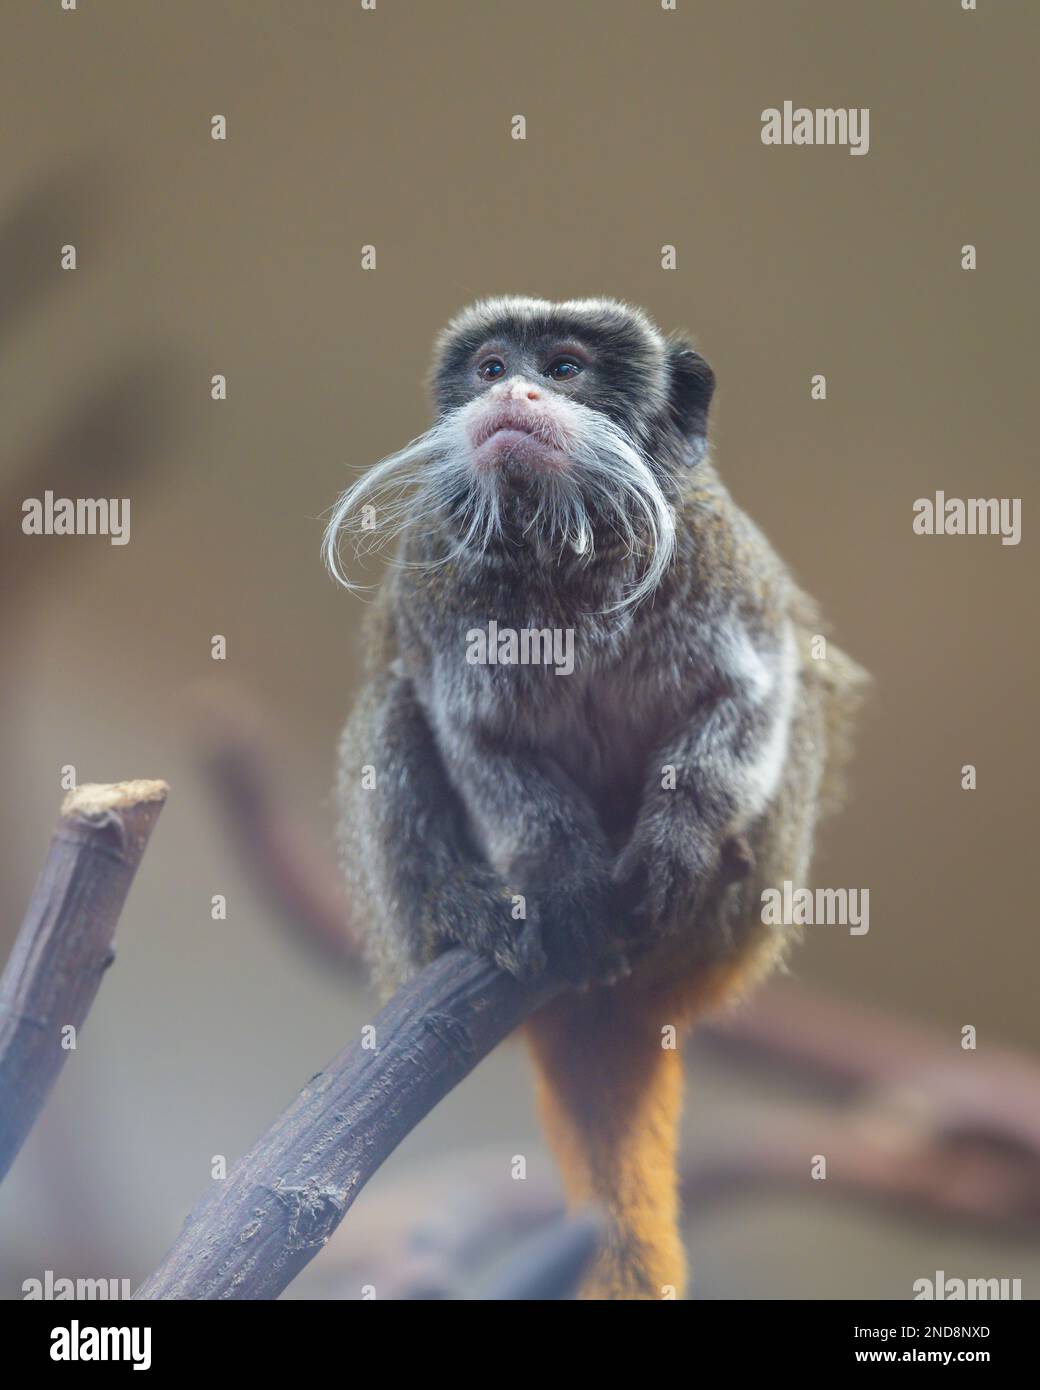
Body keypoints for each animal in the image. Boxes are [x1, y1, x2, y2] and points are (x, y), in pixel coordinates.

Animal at [325, 297, 866, 1300]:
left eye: (566, 368)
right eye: (492, 367)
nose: (515, 393)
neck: (560, 547)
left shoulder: (715, 554)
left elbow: (757, 690)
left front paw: (678, 844)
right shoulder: (438, 584)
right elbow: (480, 742)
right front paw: (564, 878)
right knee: (394, 707)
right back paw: (462, 913)